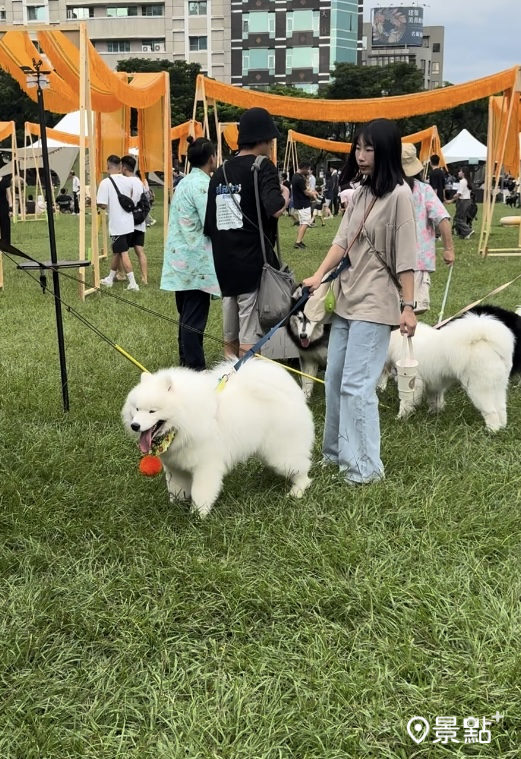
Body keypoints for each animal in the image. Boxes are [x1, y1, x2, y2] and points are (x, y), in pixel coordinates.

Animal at [121, 356, 312, 516]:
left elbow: (200, 493)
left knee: (302, 469)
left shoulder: (206, 466)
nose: (135, 425)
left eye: (152, 411)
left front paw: (198, 516)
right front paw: (175, 507)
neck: (183, 423)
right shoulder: (176, 467)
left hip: (282, 454)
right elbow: (176, 490)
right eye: (136, 409)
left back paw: (297, 490)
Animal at [380, 308, 516, 428]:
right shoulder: (434, 383)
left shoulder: (414, 381)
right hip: (498, 386)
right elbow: (435, 400)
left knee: (491, 411)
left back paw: (492, 430)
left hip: (478, 388)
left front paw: (400, 417)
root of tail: (486, 341)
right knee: (501, 408)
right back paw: (502, 427)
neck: (400, 339)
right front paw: (434, 413)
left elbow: (406, 402)